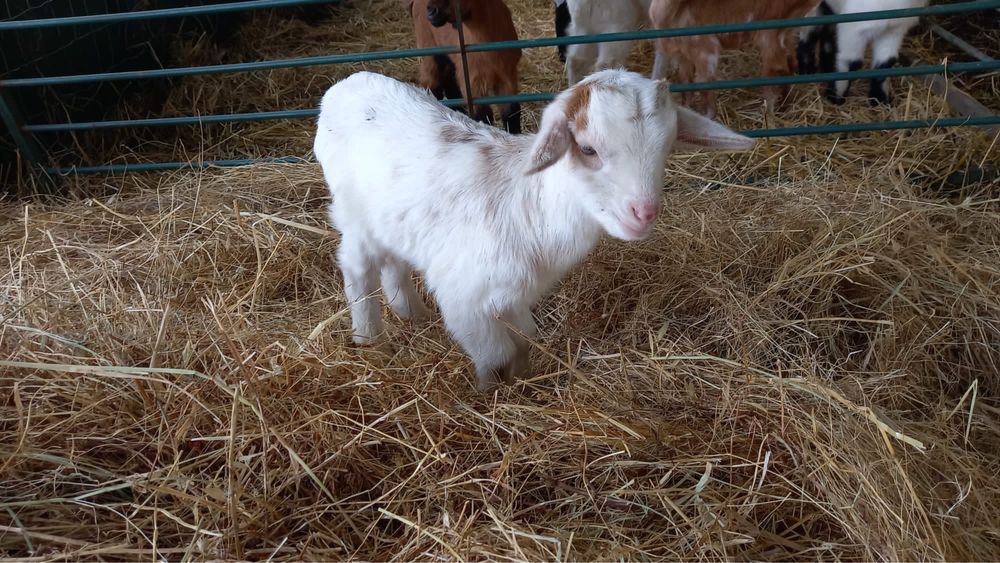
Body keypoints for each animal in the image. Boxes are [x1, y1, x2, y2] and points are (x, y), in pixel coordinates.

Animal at [316, 69, 752, 392]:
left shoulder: (514, 295)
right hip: (354, 216)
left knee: (394, 262)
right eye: (588, 149)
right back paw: (369, 338)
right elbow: (495, 356)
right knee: (357, 268)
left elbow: (525, 341)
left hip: (391, 221)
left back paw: (413, 316)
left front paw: (525, 381)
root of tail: (345, 83)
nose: (643, 213)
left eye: (667, 148)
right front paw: (490, 396)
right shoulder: (465, 300)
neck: (530, 207)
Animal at [404, 0, 524, 134]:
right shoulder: (472, 81)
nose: (431, 11)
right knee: (431, 83)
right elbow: (483, 116)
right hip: (429, 50)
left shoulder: (508, 76)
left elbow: (511, 113)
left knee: (449, 83)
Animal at [648, 0, 820, 118]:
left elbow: (703, 85)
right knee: (789, 65)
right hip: (785, 31)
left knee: (776, 71)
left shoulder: (705, 51)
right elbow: (686, 84)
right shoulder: (684, 54)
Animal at [792, 0, 924, 105]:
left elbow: (886, 62)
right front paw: (836, 97)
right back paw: (807, 69)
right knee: (811, 25)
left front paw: (879, 99)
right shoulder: (854, 26)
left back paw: (825, 65)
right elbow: (851, 62)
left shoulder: (894, 29)